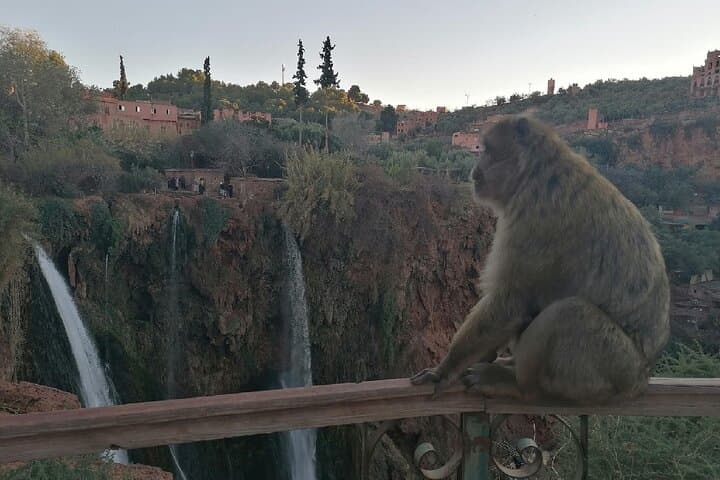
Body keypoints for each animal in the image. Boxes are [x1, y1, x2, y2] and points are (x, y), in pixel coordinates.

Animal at [411, 116, 670, 403]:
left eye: (487, 151)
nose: (474, 172)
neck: (535, 173)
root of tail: (640, 380)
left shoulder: (533, 218)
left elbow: (511, 301)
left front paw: (445, 369)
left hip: (612, 369)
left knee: (568, 312)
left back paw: (519, 385)